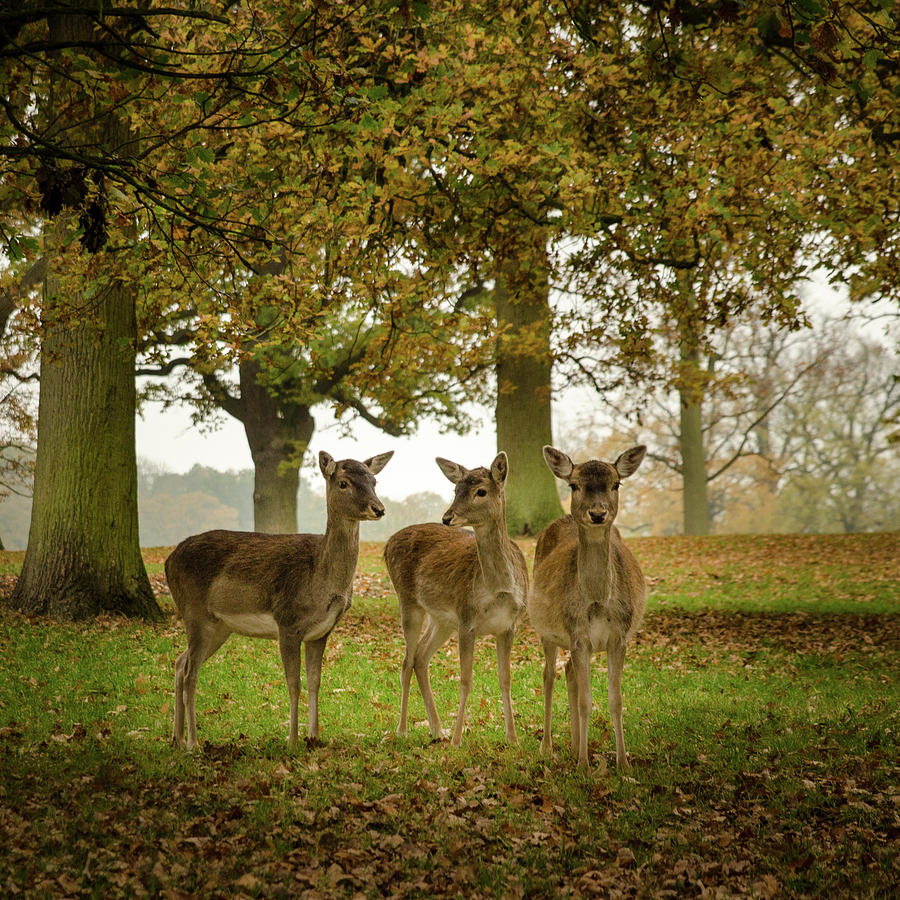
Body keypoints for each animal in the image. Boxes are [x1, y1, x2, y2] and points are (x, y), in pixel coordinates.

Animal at [167, 446, 392, 748]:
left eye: (374, 481)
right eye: (343, 483)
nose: (378, 508)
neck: (319, 579)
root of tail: (168, 561)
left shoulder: (321, 632)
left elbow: (315, 680)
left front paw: (314, 736)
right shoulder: (287, 622)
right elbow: (293, 683)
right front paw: (293, 740)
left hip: (219, 625)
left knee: (181, 662)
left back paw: (177, 738)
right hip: (194, 611)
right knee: (191, 673)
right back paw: (193, 743)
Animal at [382, 454, 528, 748]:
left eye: (481, 491)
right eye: (455, 489)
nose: (447, 517)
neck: (500, 591)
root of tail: (387, 543)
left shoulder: (509, 626)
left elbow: (505, 679)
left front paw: (512, 737)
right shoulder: (466, 618)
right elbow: (466, 679)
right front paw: (458, 739)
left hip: (441, 619)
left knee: (420, 657)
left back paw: (437, 729)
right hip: (408, 601)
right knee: (406, 661)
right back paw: (403, 729)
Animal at [528, 446, 648, 768]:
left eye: (616, 483)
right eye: (574, 485)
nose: (597, 513)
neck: (597, 601)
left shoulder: (619, 636)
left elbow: (615, 701)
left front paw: (623, 762)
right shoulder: (578, 634)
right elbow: (585, 701)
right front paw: (583, 766)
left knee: (568, 672)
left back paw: (572, 746)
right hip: (547, 632)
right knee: (548, 676)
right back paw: (548, 747)